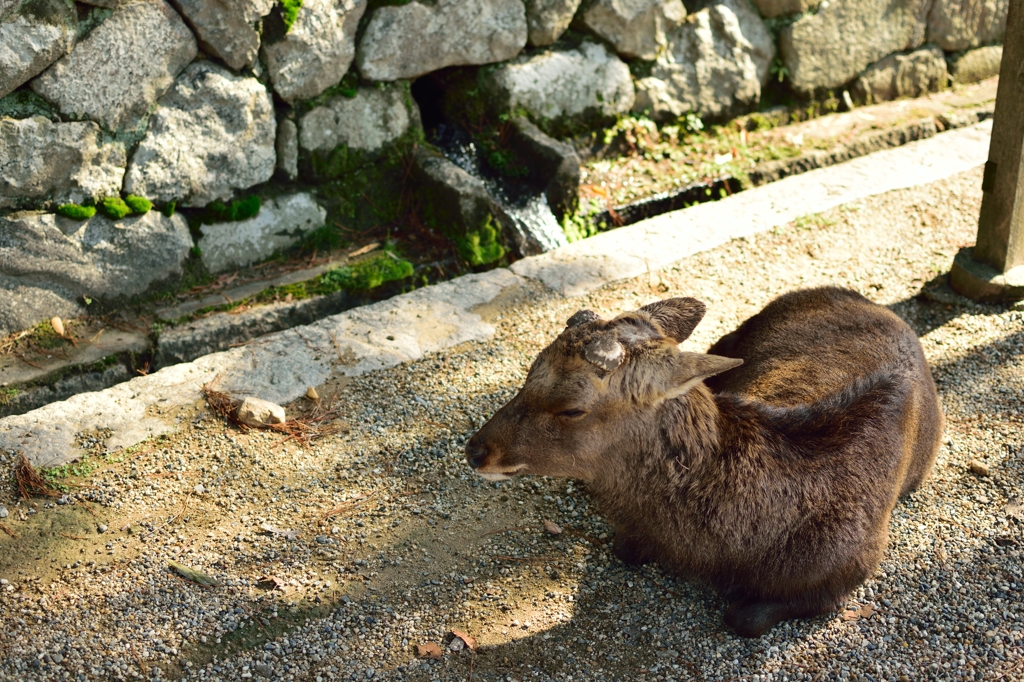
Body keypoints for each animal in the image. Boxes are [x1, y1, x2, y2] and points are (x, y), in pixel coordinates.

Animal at [464, 284, 942, 634]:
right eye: (528, 373)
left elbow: (742, 617)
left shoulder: (850, 569)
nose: (475, 450)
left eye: (571, 409)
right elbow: (625, 547)